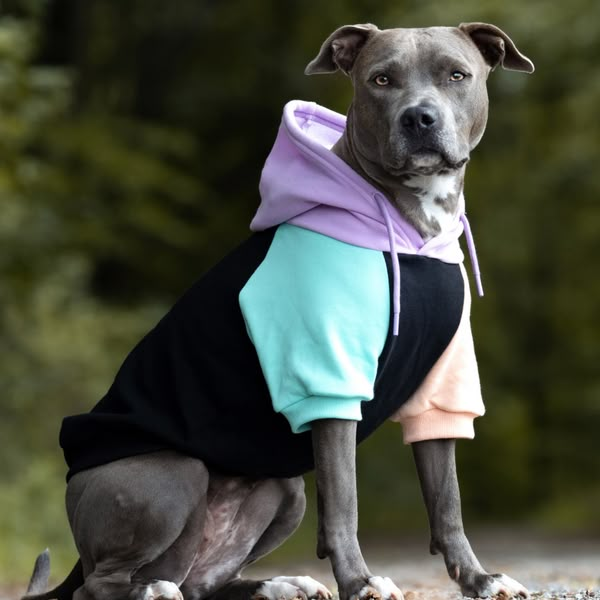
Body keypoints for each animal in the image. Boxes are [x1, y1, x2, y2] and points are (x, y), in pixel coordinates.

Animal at [23, 21, 536, 600]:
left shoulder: (439, 388)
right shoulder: (328, 383)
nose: (419, 117)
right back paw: (149, 590)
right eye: (382, 79)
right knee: (103, 584)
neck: (413, 229)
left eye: (456, 75)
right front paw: (360, 582)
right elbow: (344, 503)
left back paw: (278, 584)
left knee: (198, 581)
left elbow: (447, 501)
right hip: (176, 474)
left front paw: (480, 578)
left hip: (285, 491)